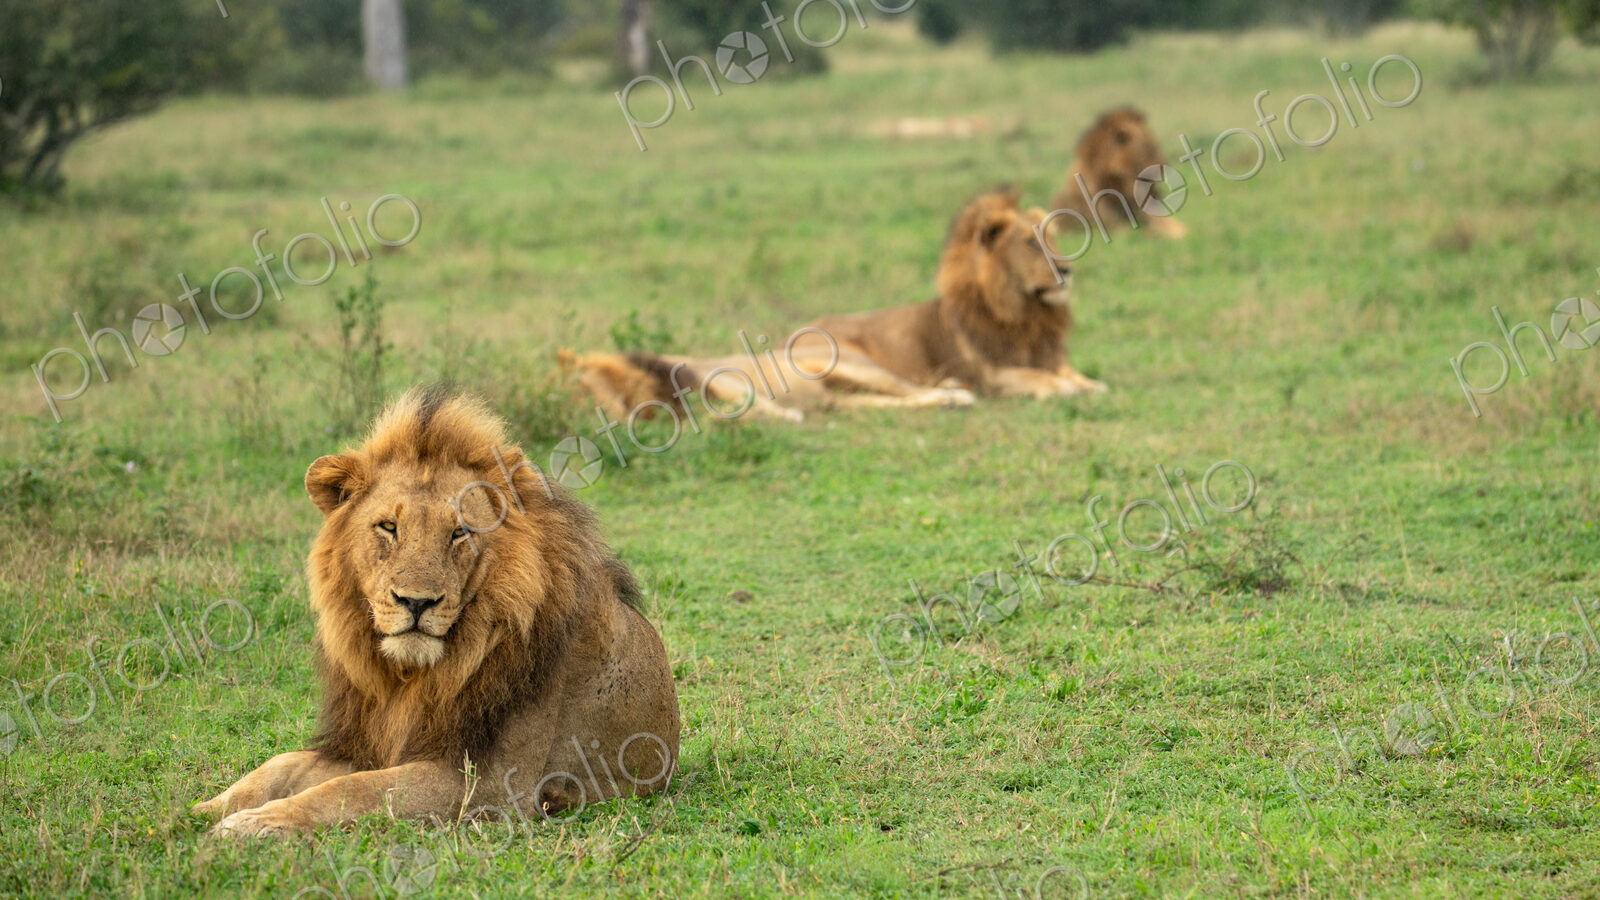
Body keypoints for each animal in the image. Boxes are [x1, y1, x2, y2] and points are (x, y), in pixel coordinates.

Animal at [194, 388, 680, 837]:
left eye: (459, 532)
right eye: (389, 527)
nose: (416, 601)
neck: (410, 679)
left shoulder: (492, 784)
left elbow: (357, 789)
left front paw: (257, 823)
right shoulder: (368, 743)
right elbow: (280, 764)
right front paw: (201, 810)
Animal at [567, 189, 1101, 423]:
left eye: (1047, 238)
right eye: (1029, 244)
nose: (1065, 270)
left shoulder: (719, 378)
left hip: (857, 370)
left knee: (911, 391)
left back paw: (952, 394)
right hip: (849, 392)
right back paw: (950, 395)